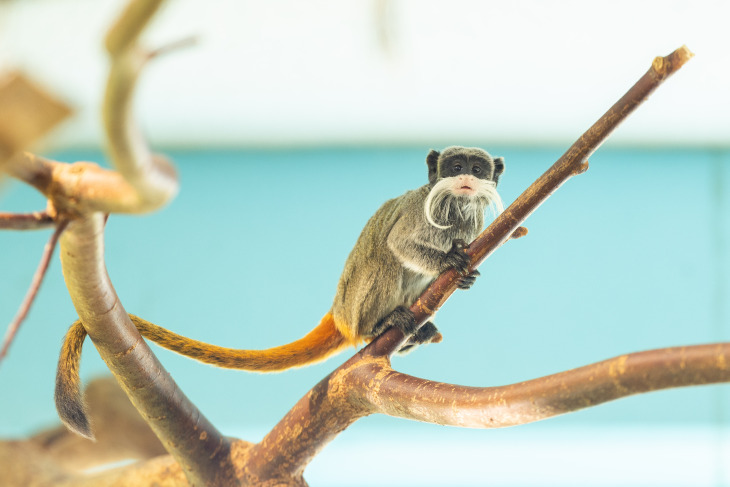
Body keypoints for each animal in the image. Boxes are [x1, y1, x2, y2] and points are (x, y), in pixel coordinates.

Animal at [55, 147, 500, 440]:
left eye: (477, 169)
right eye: (455, 167)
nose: (466, 177)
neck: (457, 211)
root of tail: (339, 311)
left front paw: (462, 272)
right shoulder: (422, 213)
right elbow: (400, 244)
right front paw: (448, 262)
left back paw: (414, 333)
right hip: (357, 301)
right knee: (382, 258)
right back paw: (382, 326)